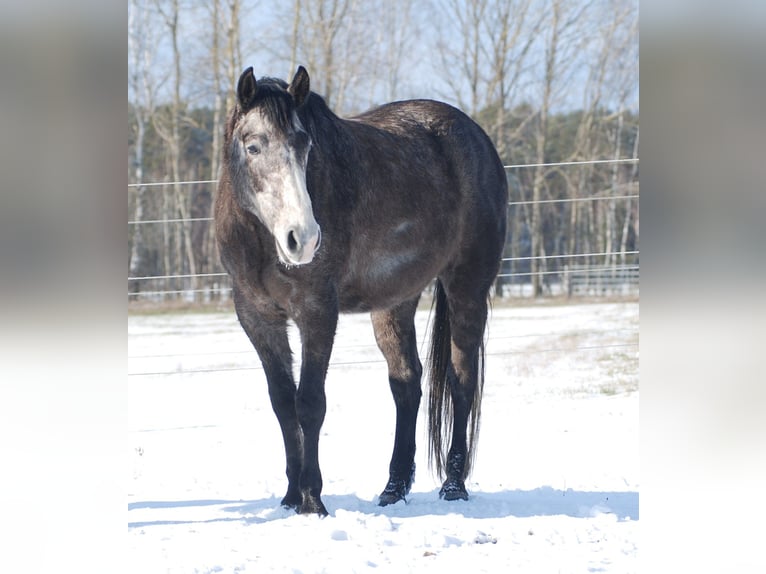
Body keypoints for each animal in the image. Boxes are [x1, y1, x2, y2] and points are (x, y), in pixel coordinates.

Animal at [214, 66, 510, 516]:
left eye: (305, 144)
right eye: (253, 146)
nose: (302, 238)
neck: (260, 241)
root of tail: (479, 138)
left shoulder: (317, 311)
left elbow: (310, 403)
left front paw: (312, 499)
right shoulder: (257, 317)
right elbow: (283, 404)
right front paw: (290, 496)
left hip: (467, 288)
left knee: (461, 380)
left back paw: (454, 485)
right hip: (395, 302)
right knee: (406, 384)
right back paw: (393, 488)